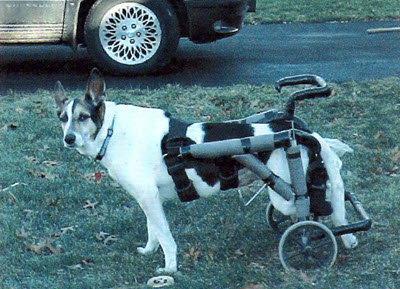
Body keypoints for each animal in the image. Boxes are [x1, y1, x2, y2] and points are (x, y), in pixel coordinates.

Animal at [54, 68, 358, 272]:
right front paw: (149, 251)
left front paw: (170, 269)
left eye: (83, 117)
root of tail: (295, 128)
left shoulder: (148, 198)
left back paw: (320, 238)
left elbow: (166, 237)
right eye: (63, 118)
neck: (112, 131)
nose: (68, 139)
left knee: (321, 208)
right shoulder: (148, 198)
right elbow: (153, 231)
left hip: (288, 196)